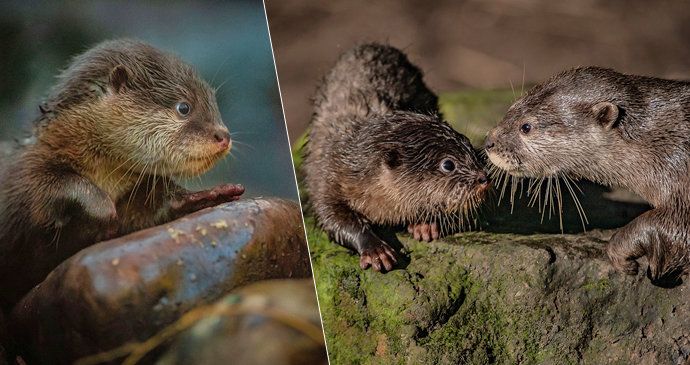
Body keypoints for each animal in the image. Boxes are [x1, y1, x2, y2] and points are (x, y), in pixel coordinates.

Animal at [0, 39, 245, 310]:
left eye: (213, 100)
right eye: (184, 107)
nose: (224, 135)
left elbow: (148, 209)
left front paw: (206, 195)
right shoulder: (25, 173)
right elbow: (48, 186)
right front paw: (102, 208)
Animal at [302, 43, 490, 270]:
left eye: (468, 143)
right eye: (448, 164)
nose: (484, 178)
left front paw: (424, 224)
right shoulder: (325, 176)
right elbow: (331, 217)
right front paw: (376, 250)